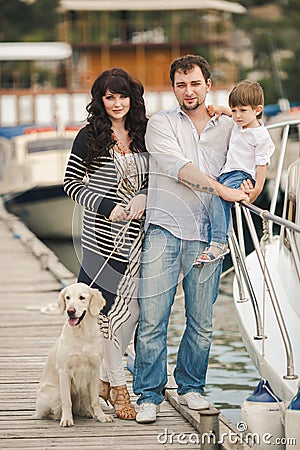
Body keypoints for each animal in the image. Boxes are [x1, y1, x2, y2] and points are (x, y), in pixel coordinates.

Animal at [34, 284, 113, 428]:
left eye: (82, 297)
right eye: (68, 297)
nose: (70, 311)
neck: (83, 334)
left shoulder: (95, 370)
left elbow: (95, 400)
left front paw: (101, 416)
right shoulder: (64, 371)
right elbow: (67, 401)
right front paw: (66, 419)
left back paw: (89, 412)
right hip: (54, 392)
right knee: (51, 411)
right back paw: (58, 416)